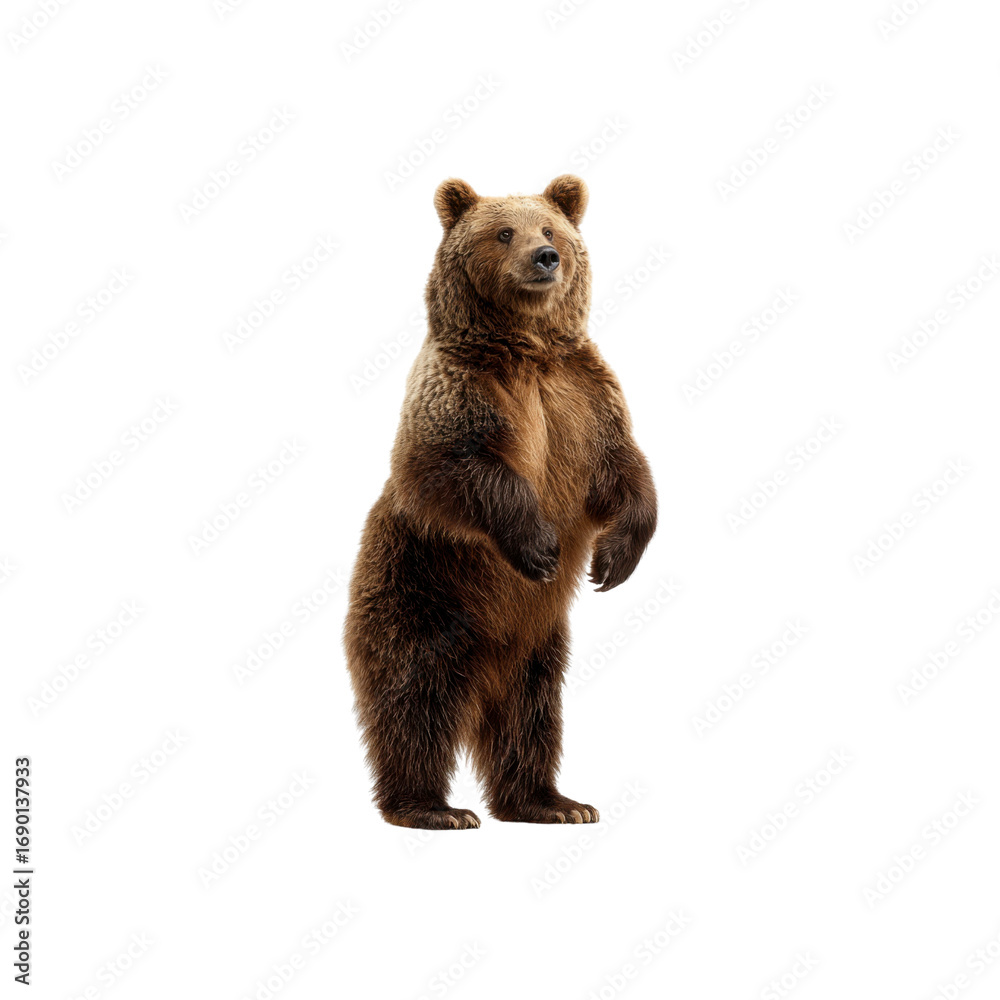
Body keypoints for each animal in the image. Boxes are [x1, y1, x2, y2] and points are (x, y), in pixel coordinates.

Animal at [343, 175, 657, 829]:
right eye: (504, 231)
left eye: (550, 228)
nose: (546, 258)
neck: (527, 347)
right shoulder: (458, 390)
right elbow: (454, 465)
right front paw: (538, 545)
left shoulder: (585, 397)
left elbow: (626, 471)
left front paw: (612, 561)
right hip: (420, 593)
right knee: (415, 700)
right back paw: (430, 808)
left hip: (538, 640)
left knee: (530, 714)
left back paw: (552, 802)